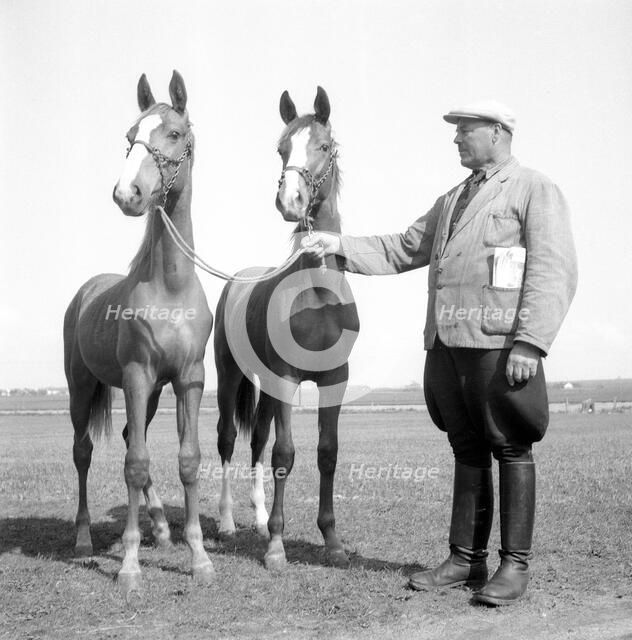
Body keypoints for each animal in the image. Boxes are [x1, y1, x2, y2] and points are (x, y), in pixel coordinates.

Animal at [63, 71, 214, 591]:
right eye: (130, 136)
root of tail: (85, 292)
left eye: (173, 134)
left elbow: (187, 460)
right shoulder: (135, 375)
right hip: (82, 387)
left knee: (132, 436)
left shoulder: (187, 379)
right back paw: (85, 538)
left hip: (148, 395)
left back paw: (163, 529)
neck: (170, 288)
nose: (126, 193)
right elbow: (134, 465)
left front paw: (197, 556)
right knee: (84, 452)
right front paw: (129, 565)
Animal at [214, 87, 360, 570]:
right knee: (227, 440)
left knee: (256, 440)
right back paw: (227, 523)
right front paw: (277, 547)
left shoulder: (334, 379)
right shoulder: (287, 378)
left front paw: (332, 541)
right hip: (231, 377)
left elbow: (326, 454)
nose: (290, 200)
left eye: (325, 146)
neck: (317, 296)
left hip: (265, 386)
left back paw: (259, 521)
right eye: (281, 149)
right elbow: (285, 453)